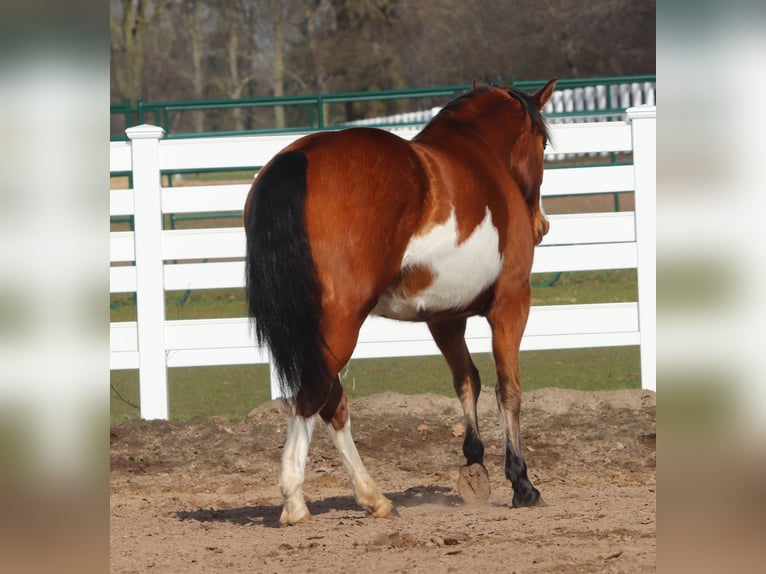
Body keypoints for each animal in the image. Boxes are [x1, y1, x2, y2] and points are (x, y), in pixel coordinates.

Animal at [244, 79, 556, 525]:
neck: (480, 156)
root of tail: (298, 158)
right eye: (543, 143)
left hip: (321, 330)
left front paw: (474, 467)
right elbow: (507, 389)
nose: (541, 226)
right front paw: (522, 483)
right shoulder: (511, 303)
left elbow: (467, 380)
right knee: (312, 398)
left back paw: (372, 496)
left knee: (332, 403)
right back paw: (295, 501)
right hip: (340, 326)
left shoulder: (444, 317)